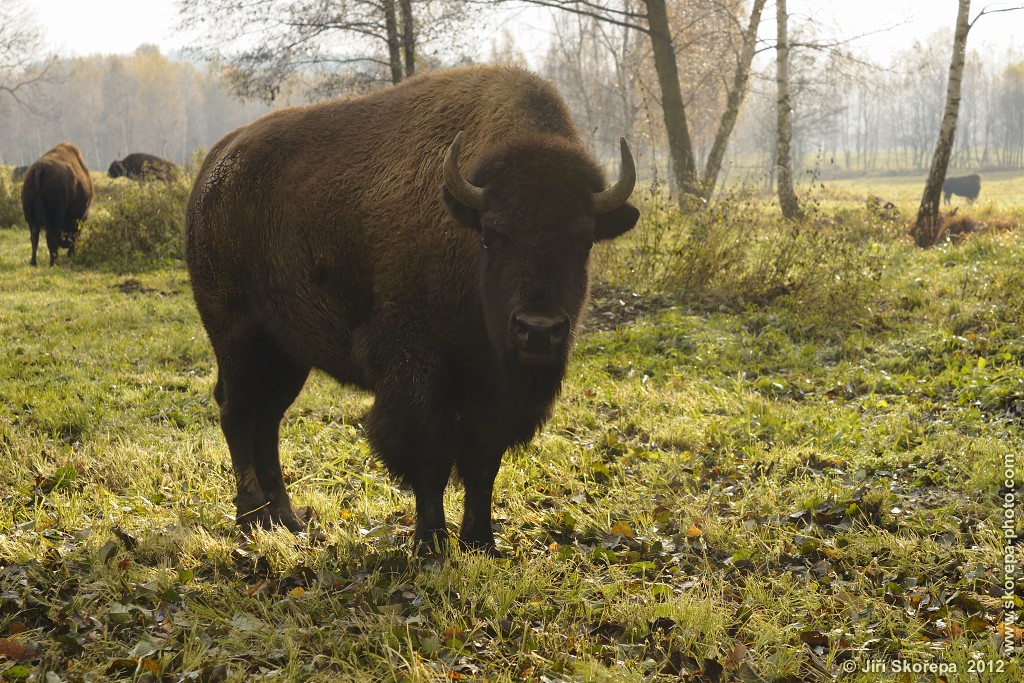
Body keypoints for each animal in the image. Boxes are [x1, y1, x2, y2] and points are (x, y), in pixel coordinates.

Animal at [180, 65, 634, 557]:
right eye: (492, 235)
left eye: (584, 241)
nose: (538, 330)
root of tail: (214, 170)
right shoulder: (418, 375)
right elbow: (430, 460)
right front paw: (431, 543)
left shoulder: (494, 394)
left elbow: (483, 465)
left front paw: (481, 543)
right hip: (236, 335)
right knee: (237, 412)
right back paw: (250, 518)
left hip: (287, 353)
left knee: (267, 419)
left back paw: (285, 520)